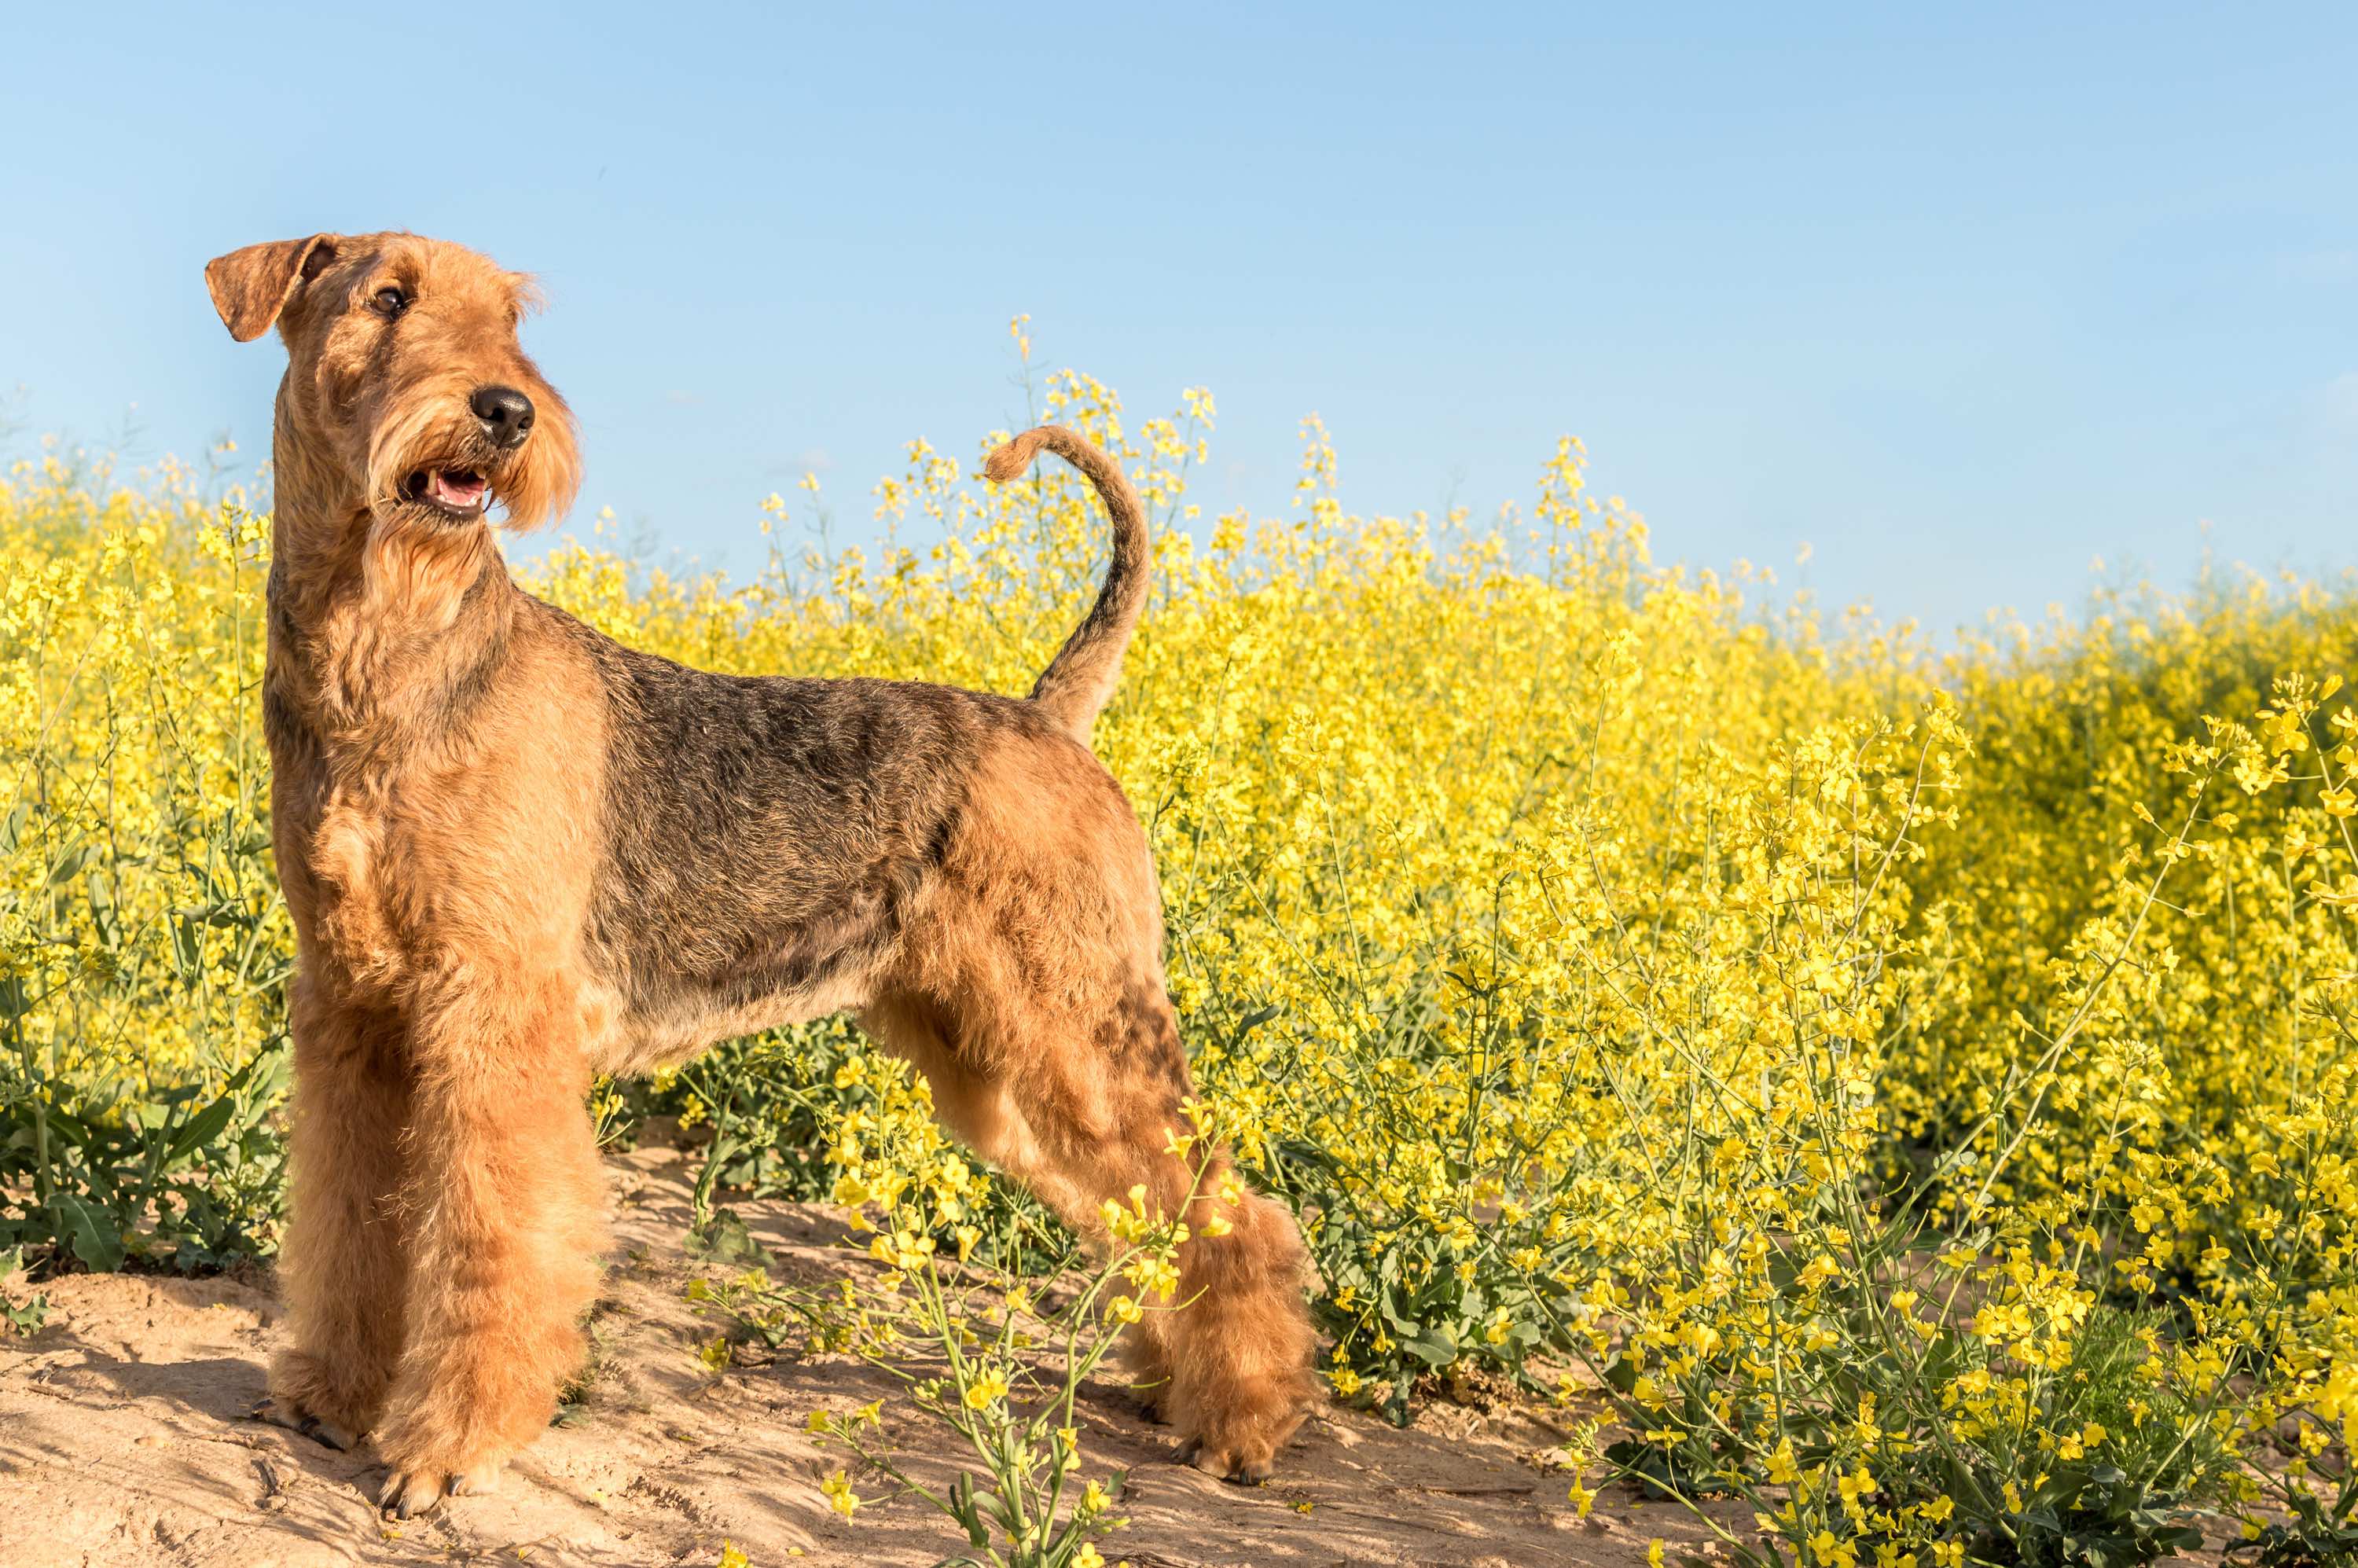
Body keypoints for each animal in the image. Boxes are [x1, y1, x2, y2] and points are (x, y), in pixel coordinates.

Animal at [203, 226, 1320, 1509]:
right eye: (388, 298)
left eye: (511, 321)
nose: (507, 411)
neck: (388, 654)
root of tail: (1050, 717)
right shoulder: (353, 1009)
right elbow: (348, 1225)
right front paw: (331, 1397)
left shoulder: (494, 1017)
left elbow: (491, 1235)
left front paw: (446, 1449)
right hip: (994, 1069)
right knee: (1147, 1215)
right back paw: (1167, 1381)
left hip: (1083, 1034)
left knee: (1236, 1213)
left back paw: (1243, 1423)